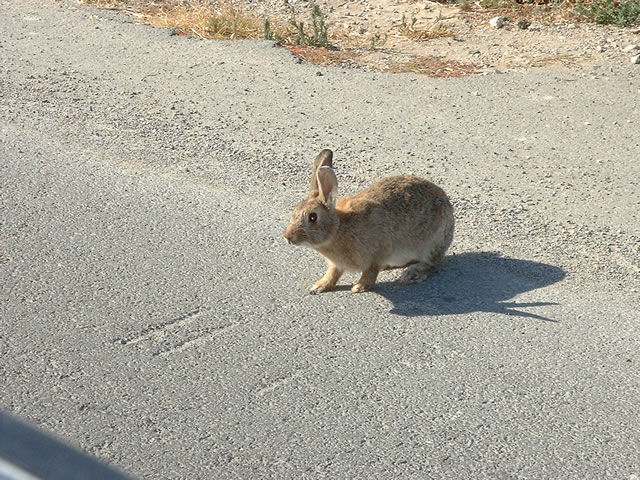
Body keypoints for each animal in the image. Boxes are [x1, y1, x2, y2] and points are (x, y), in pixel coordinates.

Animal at [283, 149, 455, 293]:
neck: (338, 229)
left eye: (313, 217)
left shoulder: (377, 252)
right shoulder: (336, 265)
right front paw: (319, 286)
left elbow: (370, 272)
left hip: (431, 244)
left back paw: (412, 274)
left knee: (433, 263)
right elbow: (333, 273)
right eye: (295, 212)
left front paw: (359, 287)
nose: (287, 237)